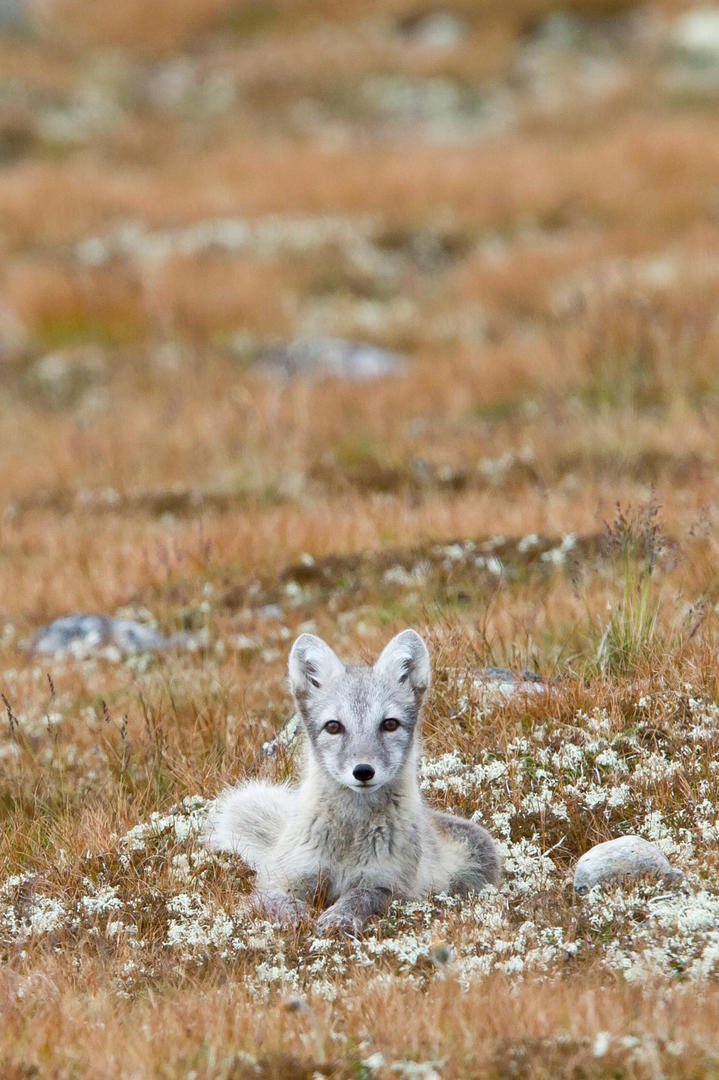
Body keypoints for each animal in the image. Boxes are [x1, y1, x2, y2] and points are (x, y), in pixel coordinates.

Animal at [201, 630, 498, 933]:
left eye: (390, 724)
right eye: (333, 726)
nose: (363, 771)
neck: (350, 829)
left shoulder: (389, 883)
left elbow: (360, 896)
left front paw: (338, 919)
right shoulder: (284, 877)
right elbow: (273, 900)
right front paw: (296, 918)